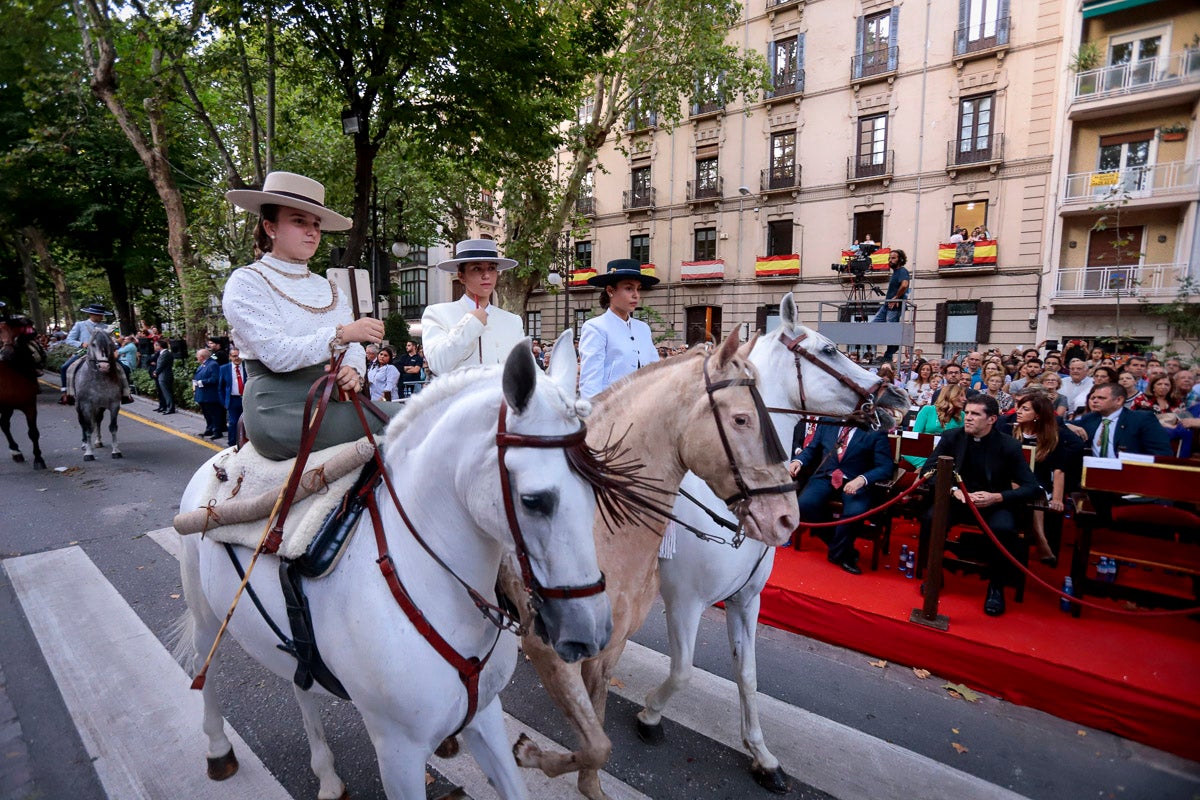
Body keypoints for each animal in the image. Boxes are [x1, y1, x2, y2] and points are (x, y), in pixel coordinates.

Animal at [0, 316, 46, 470]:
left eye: (13, 332)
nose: (6, 354)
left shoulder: (29, 405)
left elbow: (33, 432)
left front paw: (38, 458)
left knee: (4, 424)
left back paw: (16, 451)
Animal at [75, 328, 123, 460]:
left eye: (110, 344)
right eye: (93, 344)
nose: (104, 366)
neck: (100, 379)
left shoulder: (114, 404)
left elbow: (113, 427)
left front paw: (116, 451)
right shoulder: (86, 405)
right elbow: (88, 427)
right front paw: (88, 453)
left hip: (99, 407)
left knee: (97, 420)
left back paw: (97, 441)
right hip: (79, 406)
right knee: (82, 423)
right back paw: (84, 444)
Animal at [174, 335, 614, 800]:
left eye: (596, 487)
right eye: (533, 501)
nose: (592, 632)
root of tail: (224, 455)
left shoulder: (485, 716)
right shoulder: (398, 752)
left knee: (301, 683)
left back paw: (327, 774)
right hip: (204, 615)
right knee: (205, 667)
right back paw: (219, 751)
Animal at [506, 331, 796, 800]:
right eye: (741, 420)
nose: (787, 518)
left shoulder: (613, 644)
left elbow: (597, 736)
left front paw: (588, 784)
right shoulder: (553, 648)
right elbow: (597, 739)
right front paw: (530, 754)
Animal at [638, 296, 907, 796]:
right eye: (830, 348)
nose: (895, 397)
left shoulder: (746, 600)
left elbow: (747, 676)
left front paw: (761, 755)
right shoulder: (684, 601)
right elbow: (682, 672)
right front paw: (649, 714)